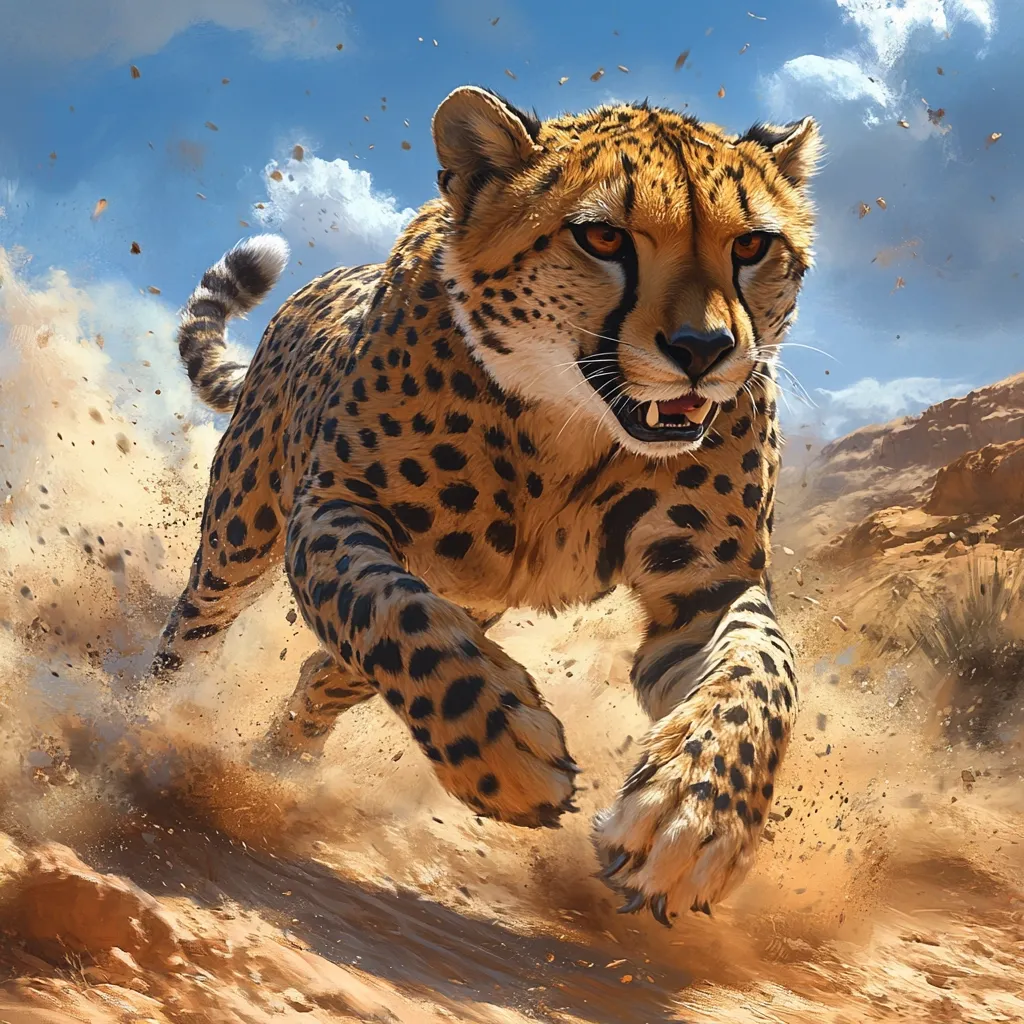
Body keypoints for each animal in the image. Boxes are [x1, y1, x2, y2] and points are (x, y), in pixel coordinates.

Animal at [145, 85, 821, 927]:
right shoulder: (331, 512)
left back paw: (281, 763)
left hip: (461, 608)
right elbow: (389, 612)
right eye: (602, 236)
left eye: (752, 247)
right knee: (195, 628)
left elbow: (762, 672)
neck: (570, 424)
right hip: (241, 537)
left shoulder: (705, 589)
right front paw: (500, 746)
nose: (704, 350)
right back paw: (143, 727)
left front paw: (696, 813)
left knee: (320, 674)